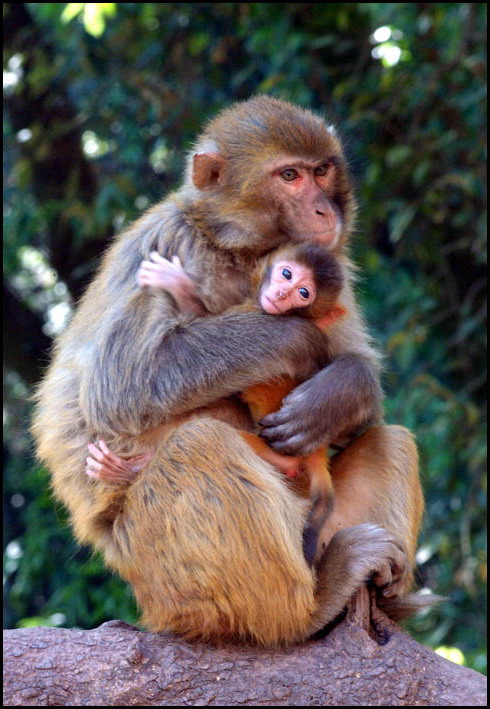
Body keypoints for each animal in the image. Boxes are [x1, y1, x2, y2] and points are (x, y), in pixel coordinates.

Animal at [89, 243, 348, 564]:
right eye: (287, 274)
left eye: (304, 293)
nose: (280, 295)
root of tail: (317, 454)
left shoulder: (257, 311)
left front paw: (177, 285)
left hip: (278, 452)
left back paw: (127, 471)